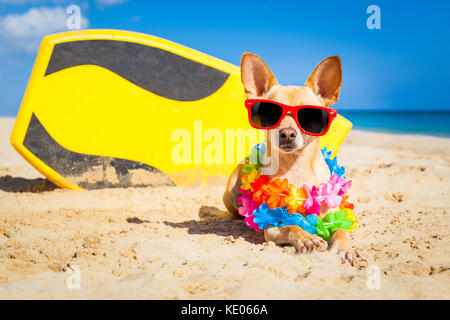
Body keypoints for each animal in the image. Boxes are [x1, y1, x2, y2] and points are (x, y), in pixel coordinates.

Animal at [223, 52, 354, 262]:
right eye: (270, 113)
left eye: (311, 116)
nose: (287, 133)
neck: (296, 166)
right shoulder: (272, 227)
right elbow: (290, 226)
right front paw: (307, 238)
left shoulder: (333, 216)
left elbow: (341, 230)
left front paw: (343, 246)